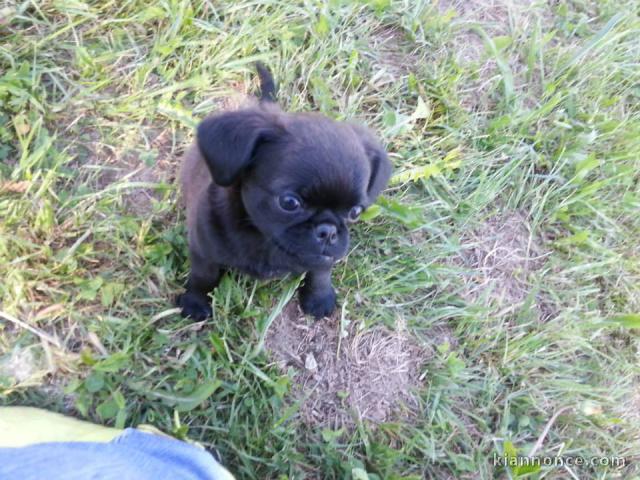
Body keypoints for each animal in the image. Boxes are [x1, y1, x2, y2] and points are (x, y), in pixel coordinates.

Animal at [178, 63, 392, 318]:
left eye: (355, 212)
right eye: (289, 203)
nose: (328, 231)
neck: (264, 238)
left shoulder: (323, 257)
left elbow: (321, 272)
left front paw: (319, 298)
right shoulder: (203, 251)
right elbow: (203, 276)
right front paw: (195, 302)